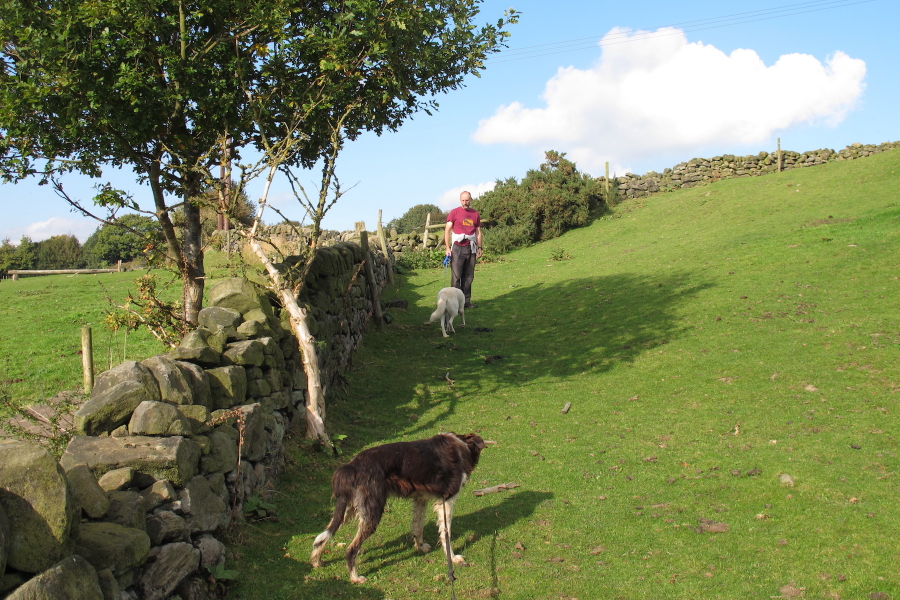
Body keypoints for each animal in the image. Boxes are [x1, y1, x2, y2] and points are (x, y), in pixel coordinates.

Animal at [312, 434, 488, 584]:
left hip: (348, 511)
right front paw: (453, 558)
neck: (462, 445)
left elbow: (418, 527)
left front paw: (420, 547)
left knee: (323, 536)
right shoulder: (446, 501)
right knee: (350, 549)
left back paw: (316, 561)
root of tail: (351, 467)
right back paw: (355, 577)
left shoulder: (421, 499)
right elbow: (446, 535)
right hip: (372, 514)